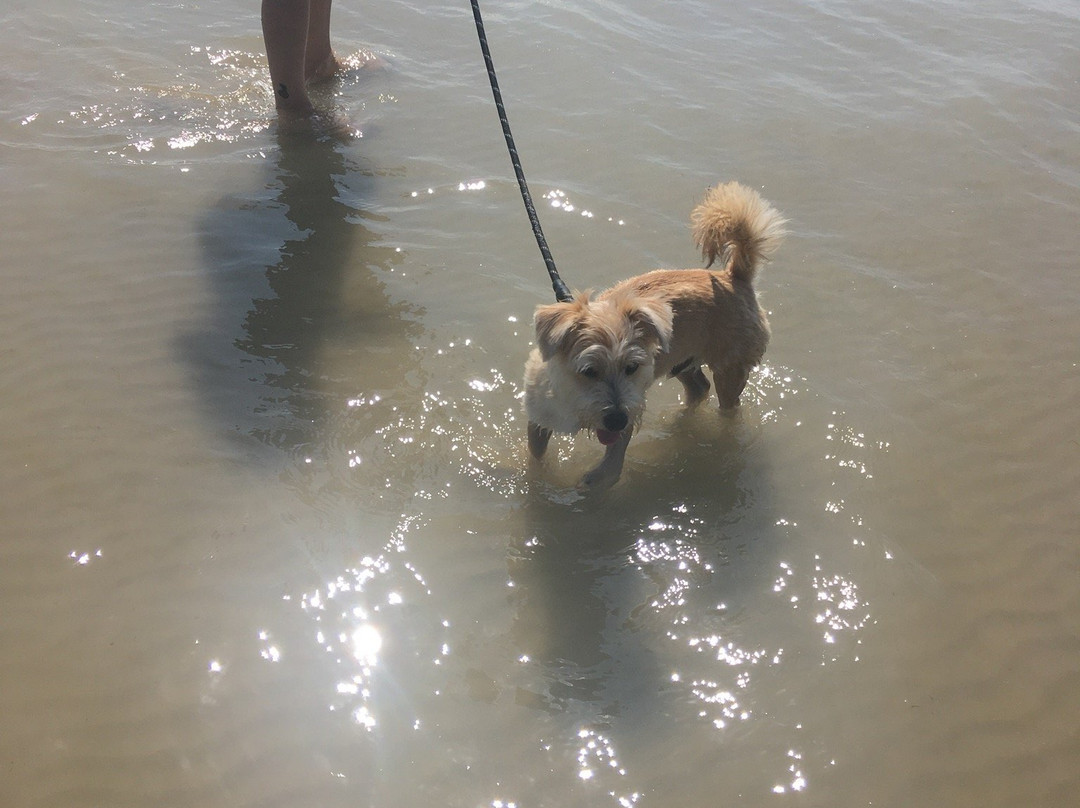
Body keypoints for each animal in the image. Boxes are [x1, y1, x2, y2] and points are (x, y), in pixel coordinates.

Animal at [520, 182, 786, 486]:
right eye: (588, 371)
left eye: (632, 367)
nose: (616, 419)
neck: (572, 400)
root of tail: (733, 277)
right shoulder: (539, 417)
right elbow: (536, 453)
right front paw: (537, 480)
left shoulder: (628, 412)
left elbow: (610, 466)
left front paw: (592, 482)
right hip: (682, 362)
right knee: (699, 388)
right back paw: (679, 423)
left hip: (731, 369)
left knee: (726, 405)